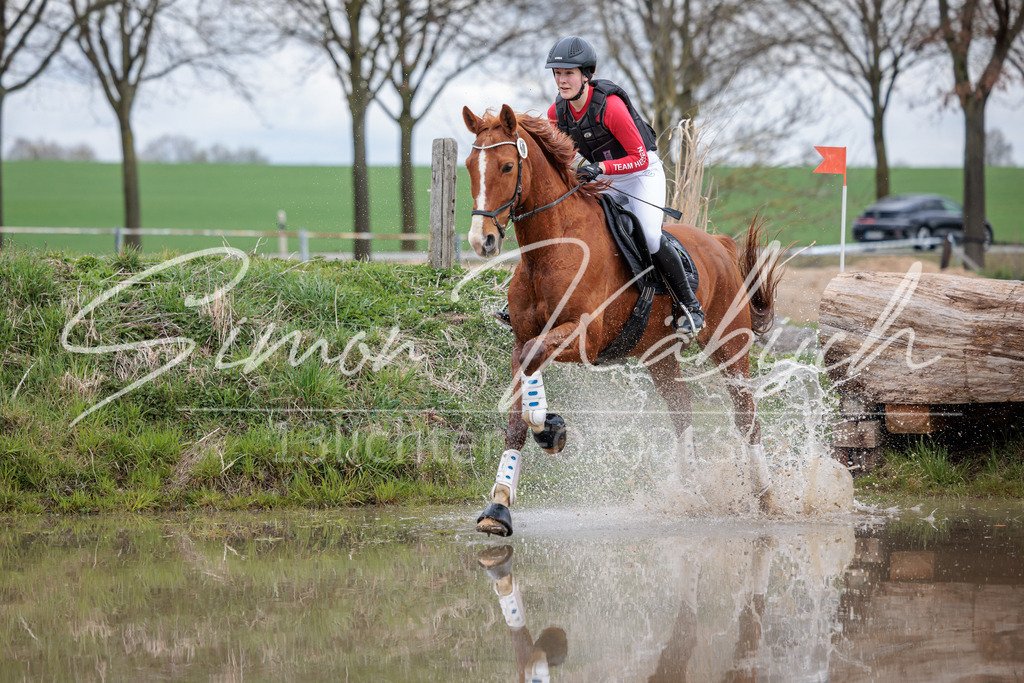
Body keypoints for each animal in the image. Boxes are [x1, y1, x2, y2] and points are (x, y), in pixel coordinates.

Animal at [463, 104, 785, 536]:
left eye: (507, 166)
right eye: (469, 166)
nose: (482, 241)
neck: (551, 249)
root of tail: (718, 244)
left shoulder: (586, 337)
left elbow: (533, 365)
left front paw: (548, 426)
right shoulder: (523, 338)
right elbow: (519, 409)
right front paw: (499, 505)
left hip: (730, 344)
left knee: (746, 415)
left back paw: (765, 496)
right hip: (657, 354)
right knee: (681, 410)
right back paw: (690, 493)